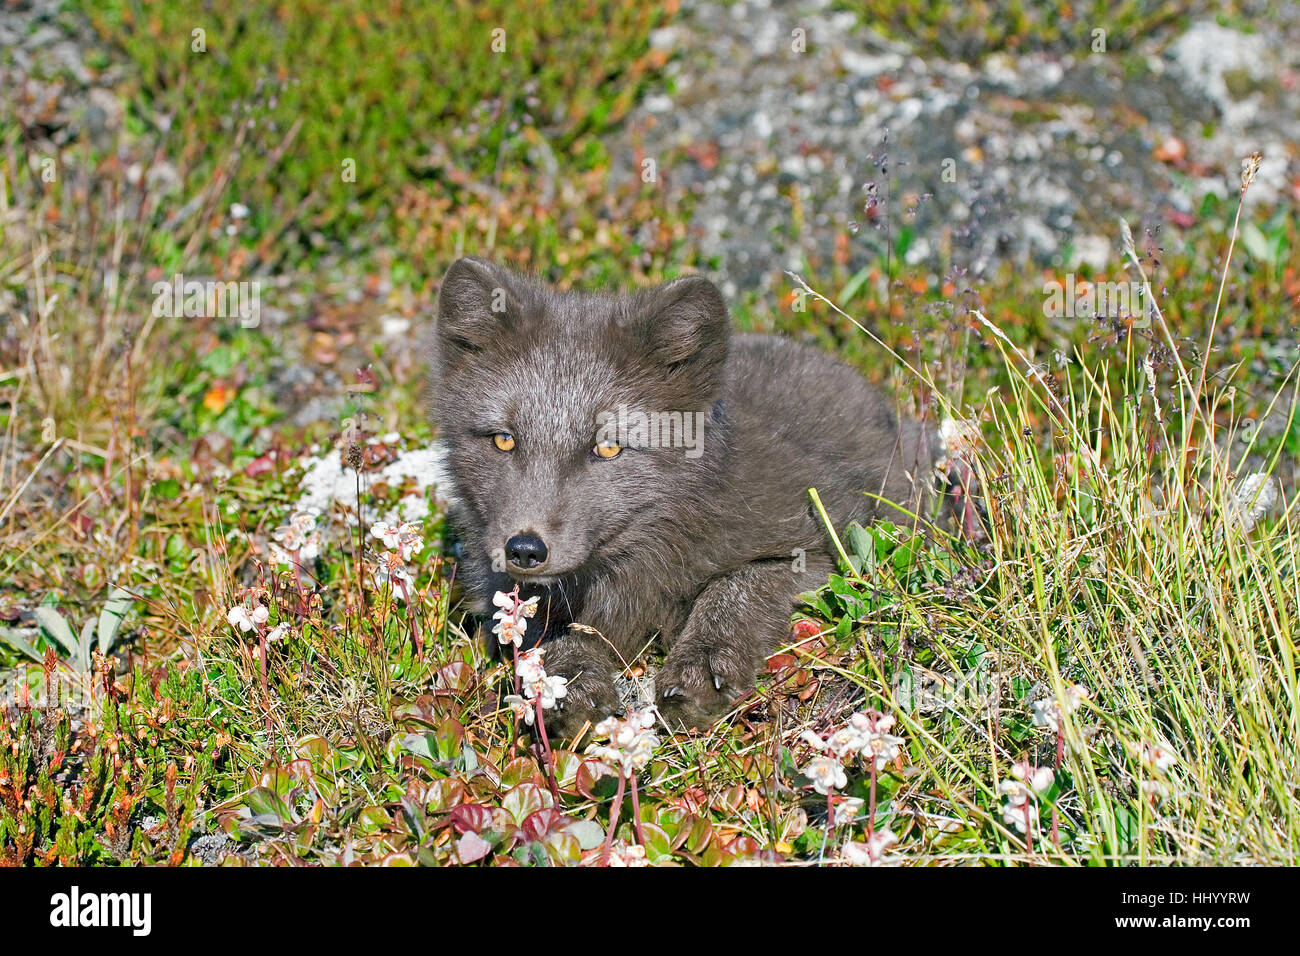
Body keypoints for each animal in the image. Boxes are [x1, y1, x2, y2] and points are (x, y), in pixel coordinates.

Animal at [429, 257, 939, 736]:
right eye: (503, 440)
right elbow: (540, 629)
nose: (525, 549)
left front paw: (701, 667)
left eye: (608, 446)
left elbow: (737, 585)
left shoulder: (828, 537)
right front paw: (571, 679)